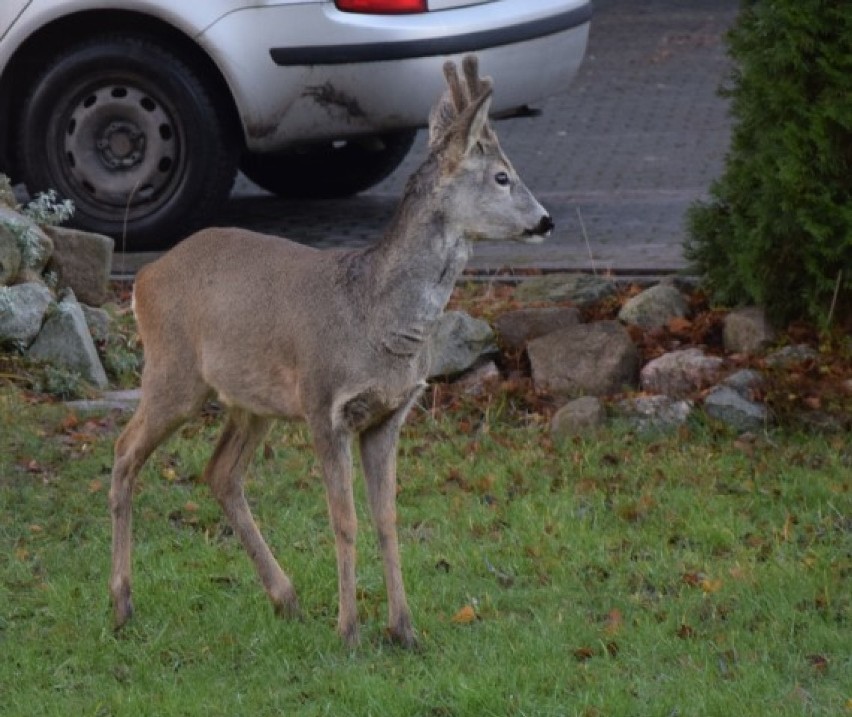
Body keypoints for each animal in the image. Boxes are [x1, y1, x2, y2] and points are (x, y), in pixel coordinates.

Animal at [110, 56, 552, 648]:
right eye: (502, 176)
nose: (546, 220)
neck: (377, 320)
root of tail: (143, 278)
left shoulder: (390, 415)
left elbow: (387, 518)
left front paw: (404, 630)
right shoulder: (325, 405)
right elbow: (345, 520)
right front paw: (349, 632)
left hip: (251, 402)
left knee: (220, 472)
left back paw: (286, 598)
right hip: (173, 370)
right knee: (124, 450)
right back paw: (122, 605)